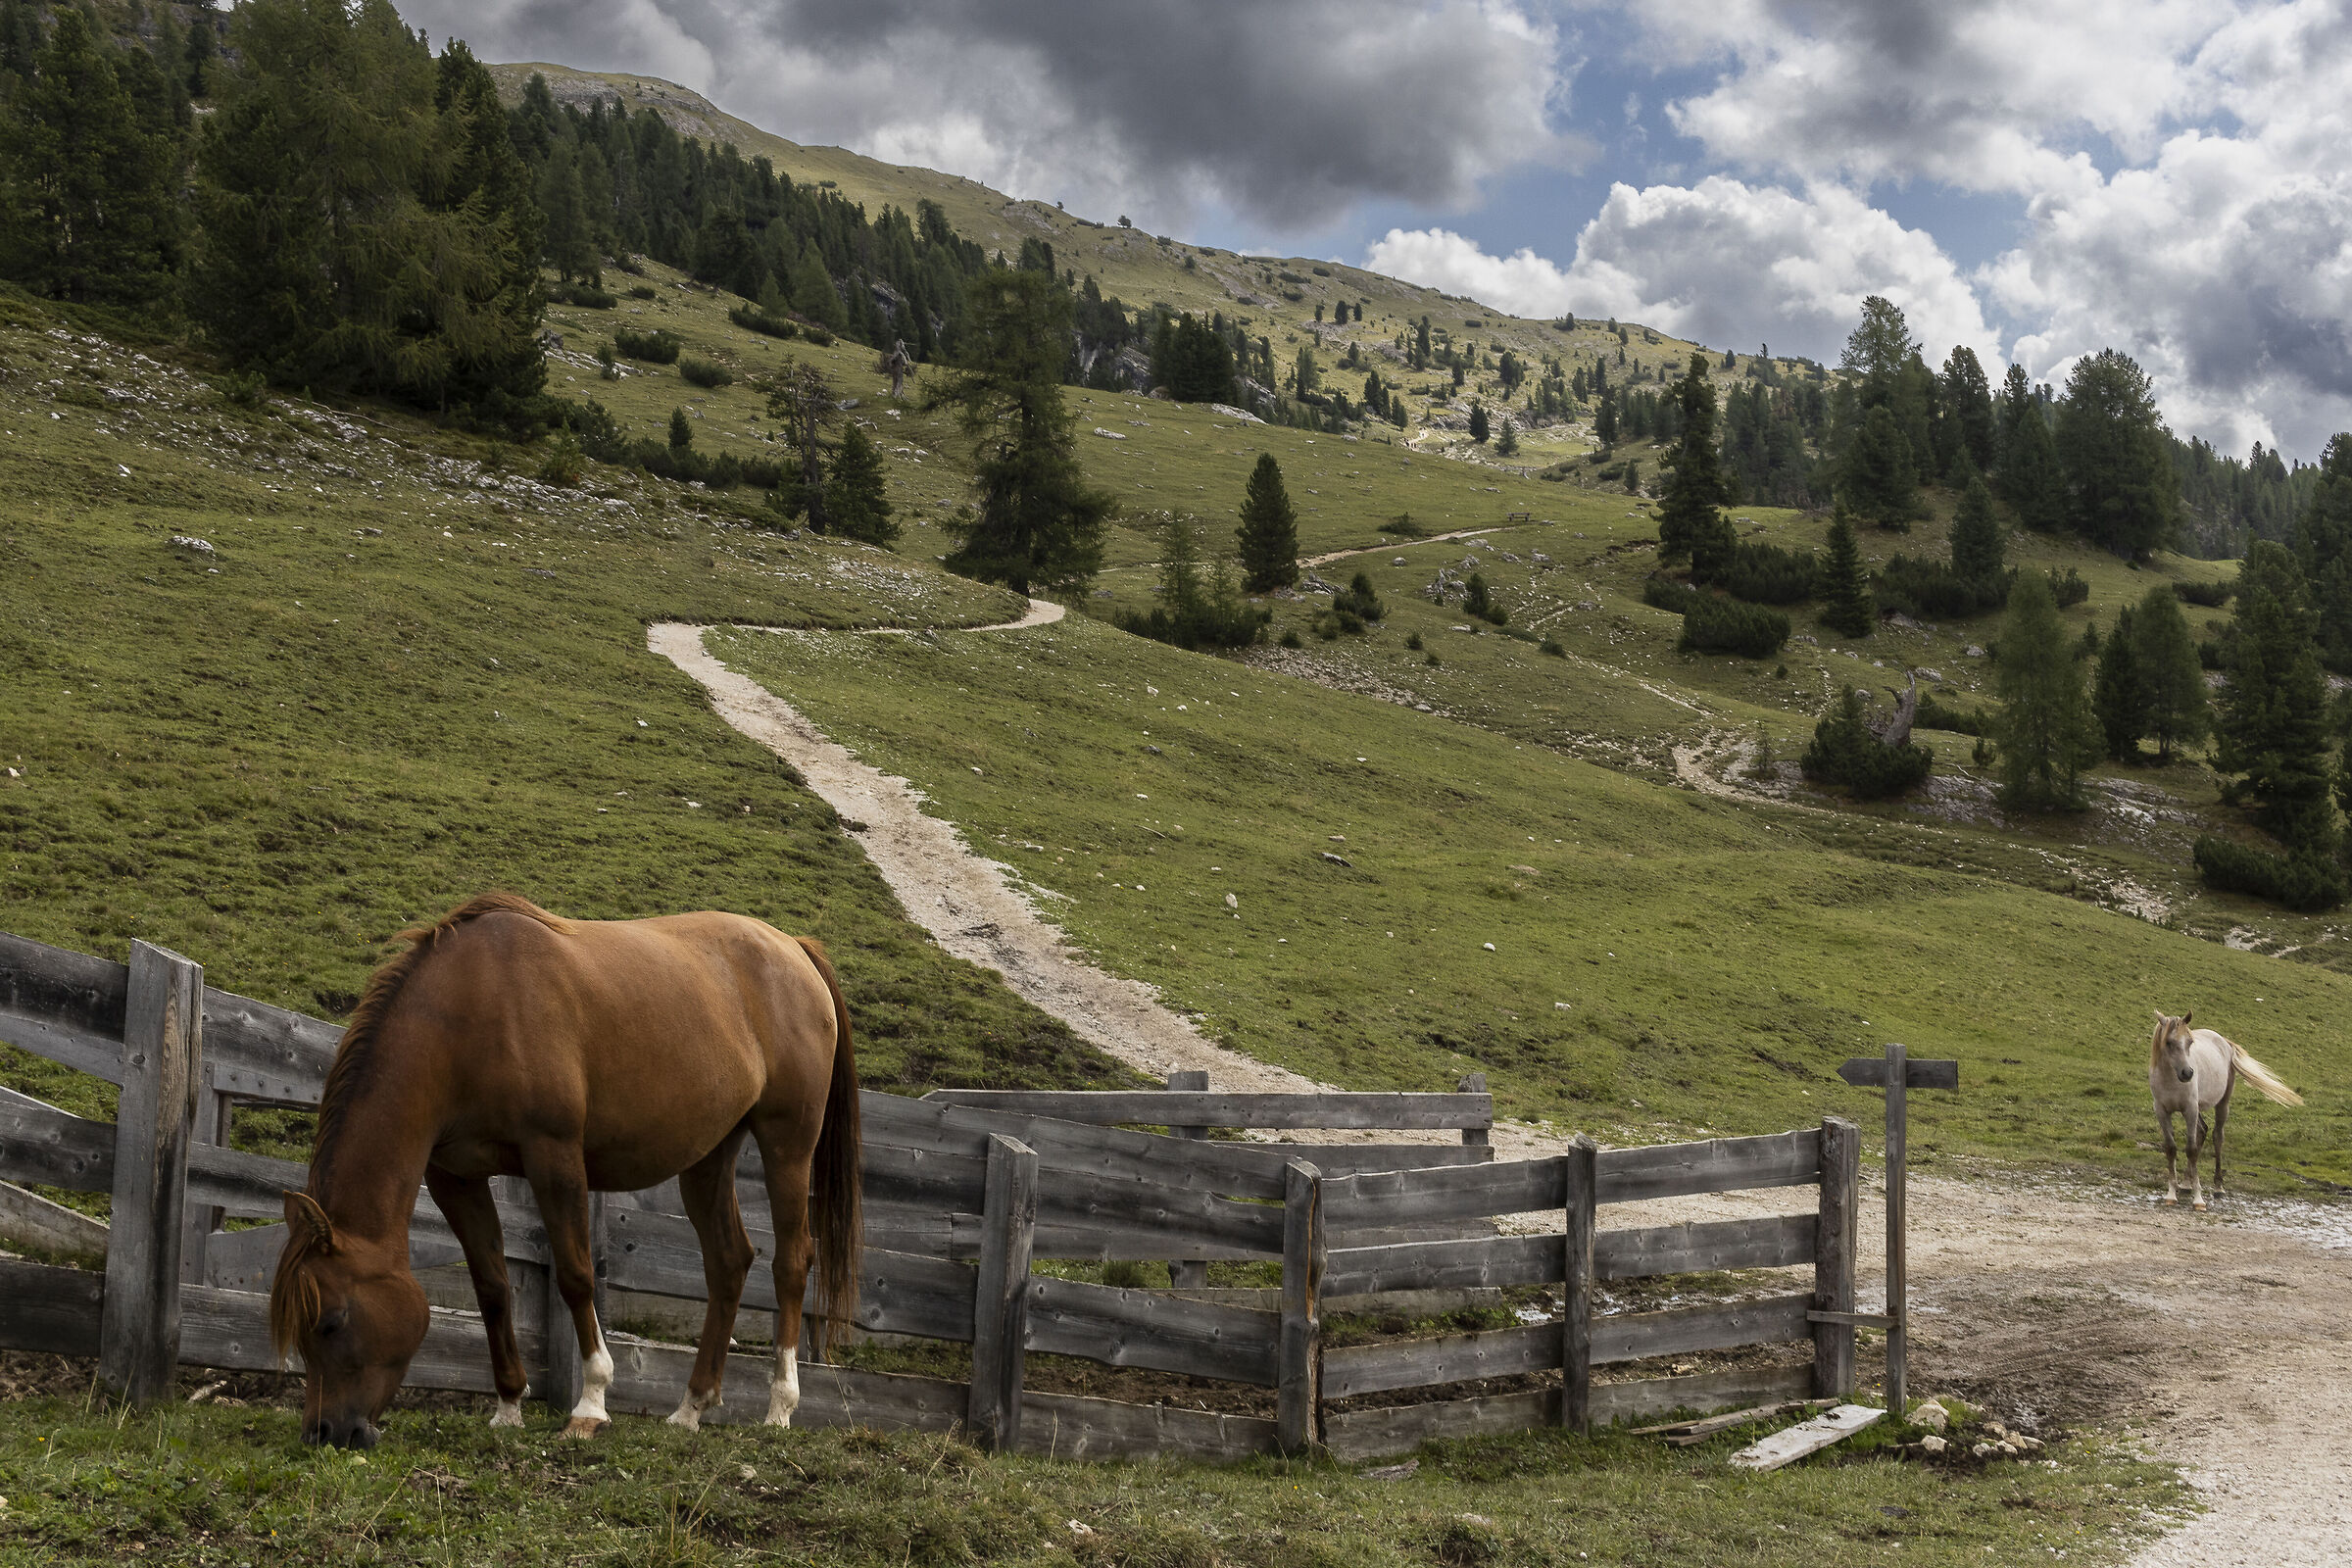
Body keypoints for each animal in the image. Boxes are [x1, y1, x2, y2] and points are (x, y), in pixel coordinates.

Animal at [268, 893, 860, 1448]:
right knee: (728, 1263)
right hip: (709, 1156)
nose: (324, 1432)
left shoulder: (553, 1155)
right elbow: (492, 1285)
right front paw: (508, 1406)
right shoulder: (454, 1176)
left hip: (788, 1144)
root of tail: (793, 948)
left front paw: (590, 1405)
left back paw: (779, 1406)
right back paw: (690, 1407)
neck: (470, 1009)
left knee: (792, 1261)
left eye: (332, 1320)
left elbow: (576, 1278)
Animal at [2148, 1009, 2301, 1210]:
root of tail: (2224, 1042)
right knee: (2202, 1131)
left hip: (2221, 1104)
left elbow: (2191, 1150)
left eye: (2190, 1042)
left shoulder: (2190, 1109)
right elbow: (2171, 1148)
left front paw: (2199, 1199)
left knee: (2217, 1137)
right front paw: (2172, 1194)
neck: (2170, 1079)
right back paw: (2186, 1184)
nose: (2188, 1073)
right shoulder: (2162, 1111)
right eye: (2168, 1042)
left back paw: (2218, 1187)